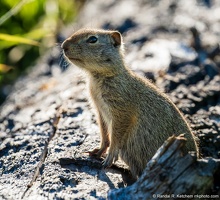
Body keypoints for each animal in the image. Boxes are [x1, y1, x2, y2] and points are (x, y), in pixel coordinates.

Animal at [61, 27, 199, 178]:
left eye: (93, 39)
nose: (64, 46)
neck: (100, 77)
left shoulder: (122, 112)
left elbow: (115, 135)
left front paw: (110, 156)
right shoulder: (99, 111)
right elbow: (104, 134)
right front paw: (98, 151)